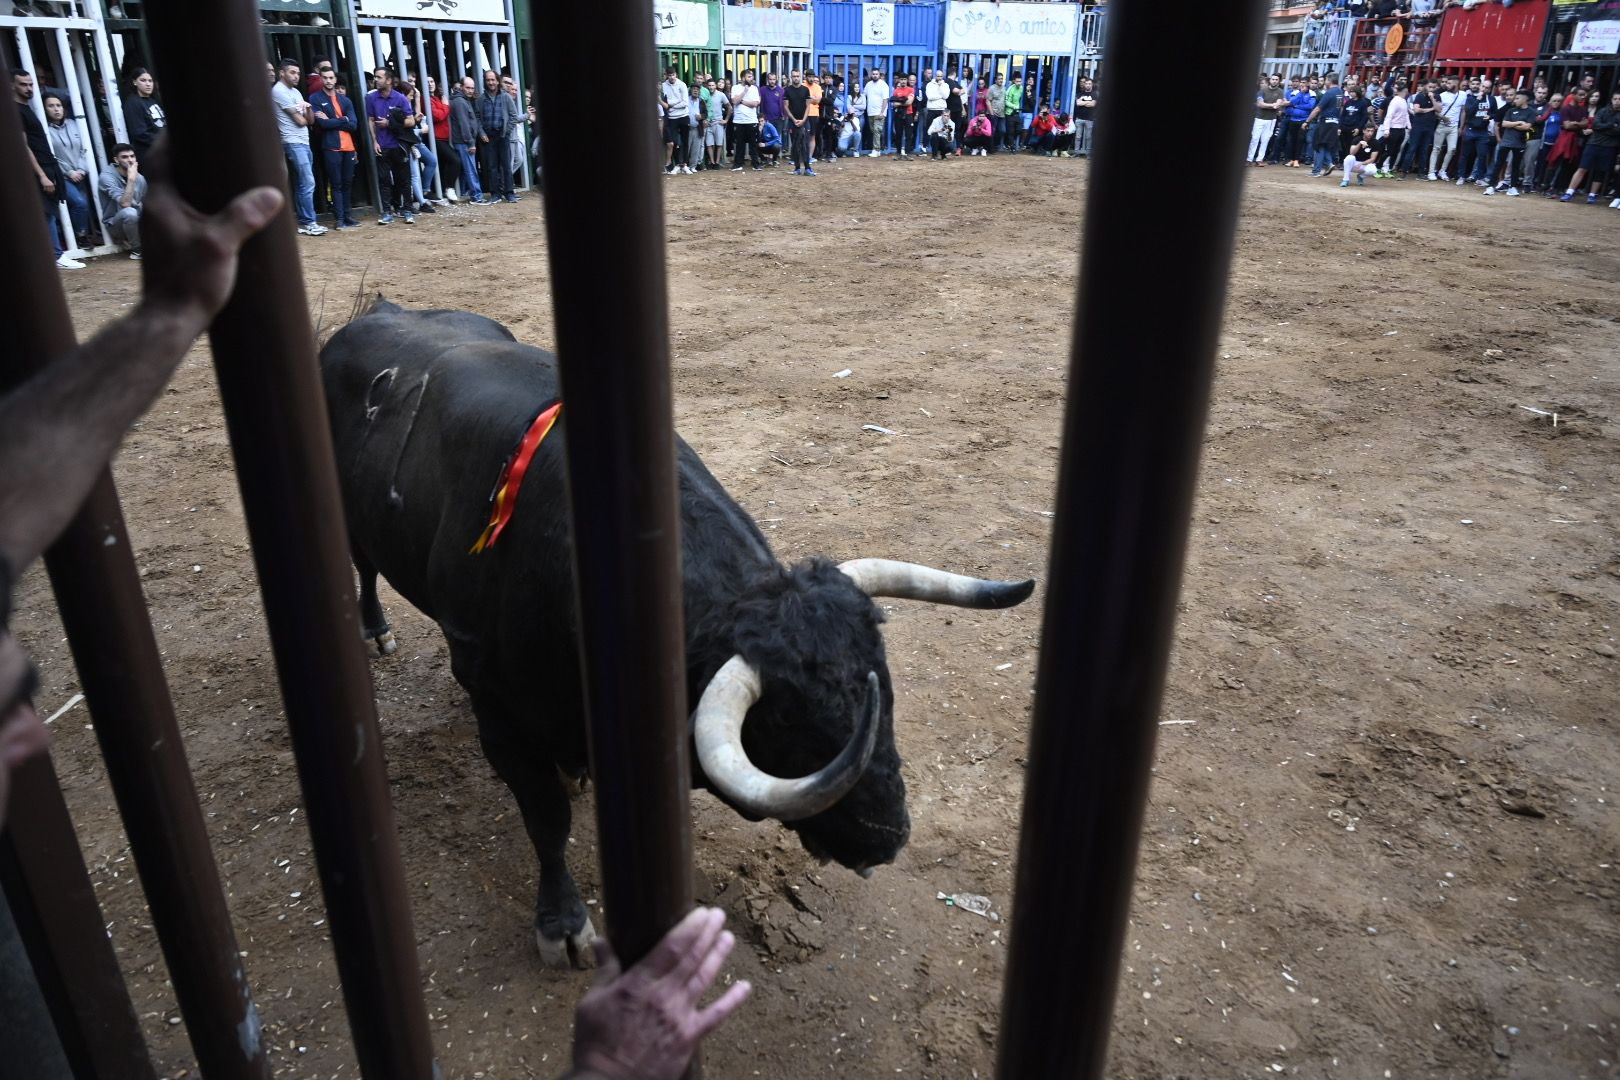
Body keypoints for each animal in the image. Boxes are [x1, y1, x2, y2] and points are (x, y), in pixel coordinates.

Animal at [320, 299, 1030, 965]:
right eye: (787, 722)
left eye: (879, 680)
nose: (888, 835)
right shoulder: (494, 703)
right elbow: (546, 819)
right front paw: (562, 924)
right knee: (362, 565)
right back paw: (374, 631)